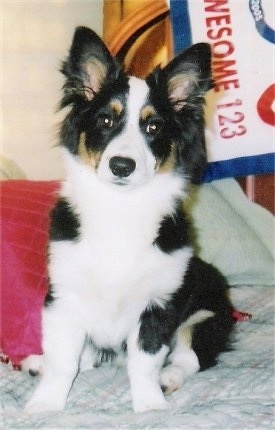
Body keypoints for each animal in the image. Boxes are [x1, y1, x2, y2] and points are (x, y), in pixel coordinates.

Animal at [24, 26, 234, 414]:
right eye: (106, 120)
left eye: (153, 127)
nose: (122, 166)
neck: (120, 209)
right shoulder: (64, 296)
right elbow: (64, 360)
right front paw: (46, 403)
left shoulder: (159, 304)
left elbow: (144, 361)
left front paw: (150, 407)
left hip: (207, 315)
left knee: (189, 356)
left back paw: (169, 379)